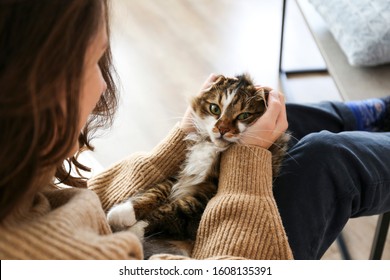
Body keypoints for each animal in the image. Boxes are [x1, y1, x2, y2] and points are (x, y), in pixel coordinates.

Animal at [106, 74, 290, 258]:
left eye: (243, 115)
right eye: (215, 109)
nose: (222, 130)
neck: (212, 146)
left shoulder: (202, 198)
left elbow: (170, 211)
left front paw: (132, 231)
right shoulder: (182, 172)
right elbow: (156, 191)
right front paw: (122, 212)